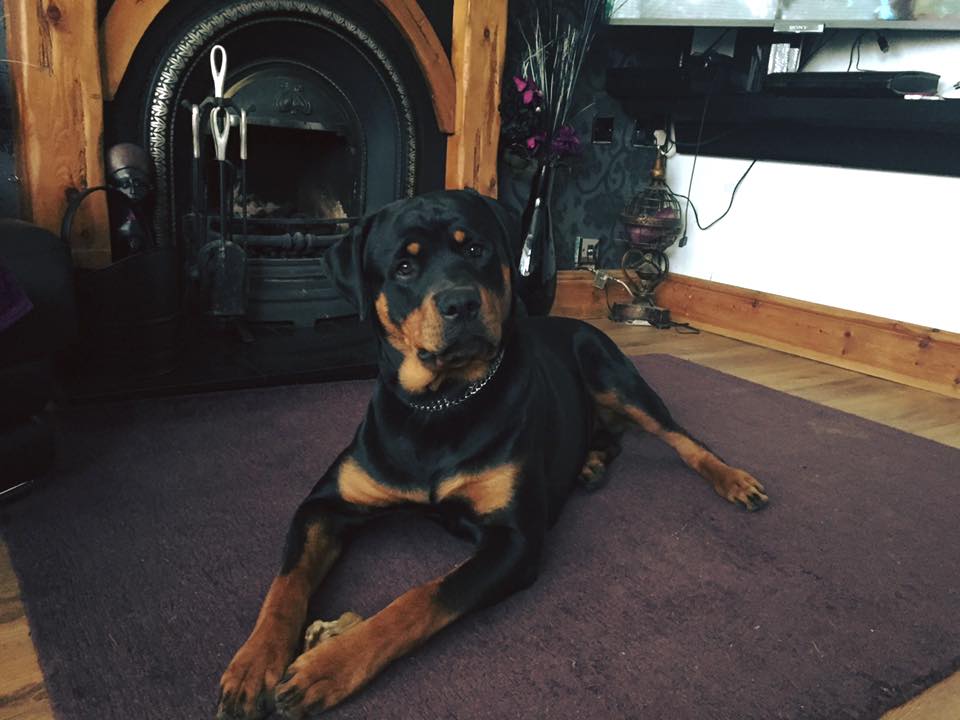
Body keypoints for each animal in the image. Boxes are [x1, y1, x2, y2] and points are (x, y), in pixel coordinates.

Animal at [216, 188, 764, 716]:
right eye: (404, 267)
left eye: (475, 249)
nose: (460, 303)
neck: (441, 402)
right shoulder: (327, 503)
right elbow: (286, 585)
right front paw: (253, 665)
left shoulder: (513, 540)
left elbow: (421, 599)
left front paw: (328, 666)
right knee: (610, 438)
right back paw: (588, 465)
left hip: (613, 373)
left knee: (682, 438)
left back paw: (735, 480)